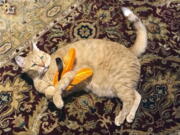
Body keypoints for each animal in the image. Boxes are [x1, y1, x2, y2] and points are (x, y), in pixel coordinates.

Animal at [15, 7, 148, 125]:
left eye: (42, 57)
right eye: (34, 64)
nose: (43, 65)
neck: (43, 77)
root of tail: (129, 50)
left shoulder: (70, 73)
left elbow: (58, 87)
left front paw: (57, 100)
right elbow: (49, 92)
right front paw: (52, 93)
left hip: (120, 84)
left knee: (130, 100)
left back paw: (121, 118)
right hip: (118, 87)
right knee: (136, 96)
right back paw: (130, 116)